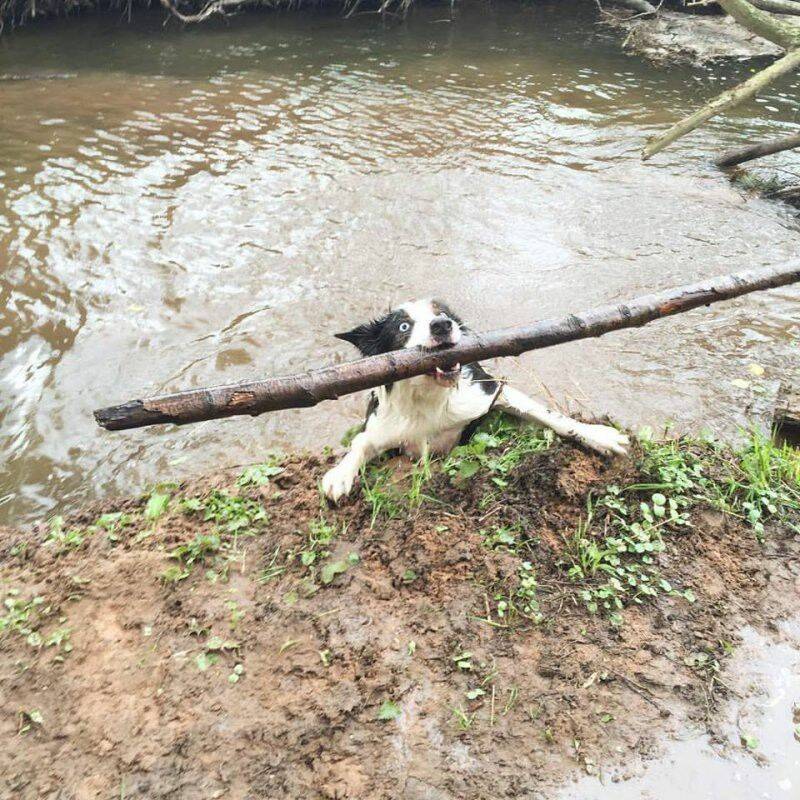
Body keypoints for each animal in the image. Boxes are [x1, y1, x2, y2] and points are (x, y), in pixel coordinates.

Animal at [322, 300, 628, 500]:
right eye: (403, 326)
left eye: (442, 314)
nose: (442, 325)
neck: (430, 396)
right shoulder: (384, 426)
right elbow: (360, 443)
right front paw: (340, 474)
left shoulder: (488, 391)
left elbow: (551, 415)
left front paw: (598, 435)